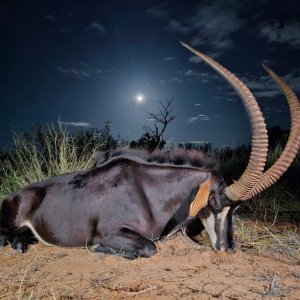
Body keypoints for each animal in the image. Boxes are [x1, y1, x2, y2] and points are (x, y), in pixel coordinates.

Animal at [0, 43, 298, 258]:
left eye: (235, 210)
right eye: (215, 205)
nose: (228, 248)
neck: (150, 193)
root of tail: (14, 194)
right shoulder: (113, 230)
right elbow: (149, 247)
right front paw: (100, 248)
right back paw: (18, 243)